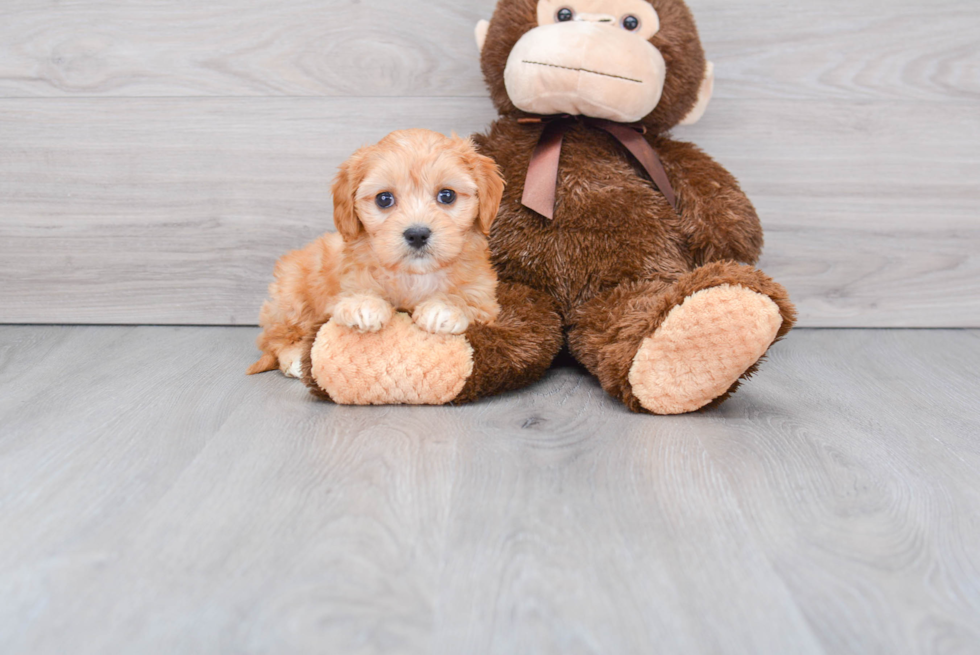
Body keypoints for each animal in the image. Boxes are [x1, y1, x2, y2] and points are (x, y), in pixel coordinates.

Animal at [249, 129, 506, 380]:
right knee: (275, 339)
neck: (414, 276)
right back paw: (294, 359)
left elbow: (467, 299)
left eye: (447, 195)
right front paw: (364, 305)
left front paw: (444, 308)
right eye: (384, 199)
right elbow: (357, 292)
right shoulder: (345, 284)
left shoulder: (485, 299)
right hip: (290, 298)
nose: (417, 234)